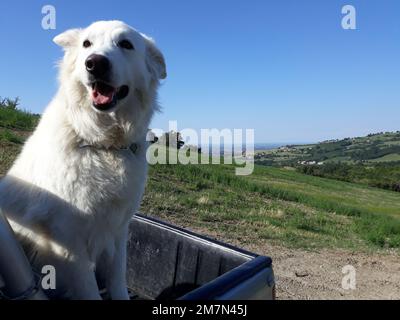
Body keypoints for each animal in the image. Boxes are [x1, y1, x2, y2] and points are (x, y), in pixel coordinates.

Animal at [0, 21, 166, 298]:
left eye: (126, 44)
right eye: (87, 44)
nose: (95, 63)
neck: (103, 144)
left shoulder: (118, 230)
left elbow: (118, 281)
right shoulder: (69, 241)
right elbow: (90, 290)